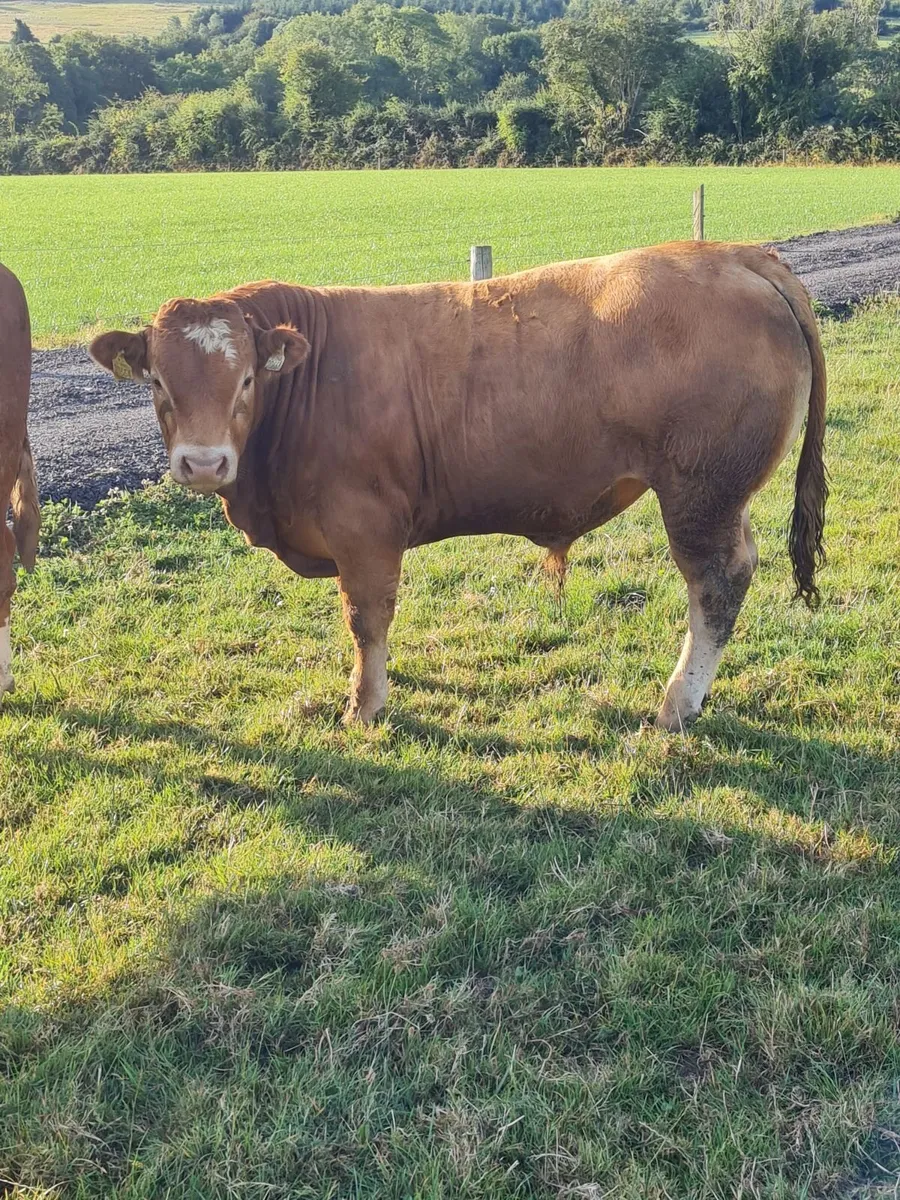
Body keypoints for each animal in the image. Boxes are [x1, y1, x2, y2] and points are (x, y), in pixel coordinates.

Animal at [89, 241, 826, 730]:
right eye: (158, 382)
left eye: (245, 380)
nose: (204, 463)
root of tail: (729, 254)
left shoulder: (364, 527)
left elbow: (365, 617)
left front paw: (364, 706)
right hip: (723, 496)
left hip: (700, 493)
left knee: (717, 585)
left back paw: (676, 705)